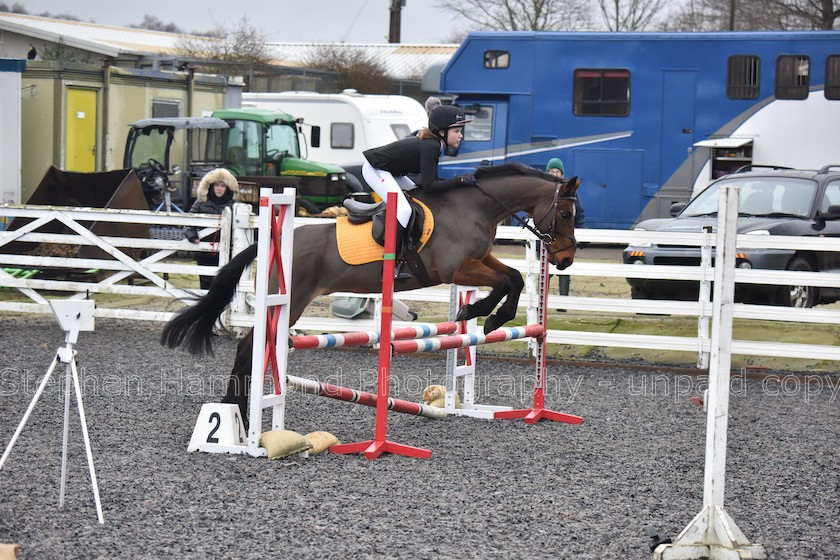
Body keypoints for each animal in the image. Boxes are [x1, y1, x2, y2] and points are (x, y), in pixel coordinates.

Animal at [162, 162, 584, 420]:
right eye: (565, 213)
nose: (564, 259)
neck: (476, 206)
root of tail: (275, 240)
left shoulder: (478, 260)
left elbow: (514, 277)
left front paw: (484, 314)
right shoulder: (456, 268)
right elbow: (508, 280)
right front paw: (486, 314)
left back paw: (236, 410)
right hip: (289, 301)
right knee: (250, 346)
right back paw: (237, 414)